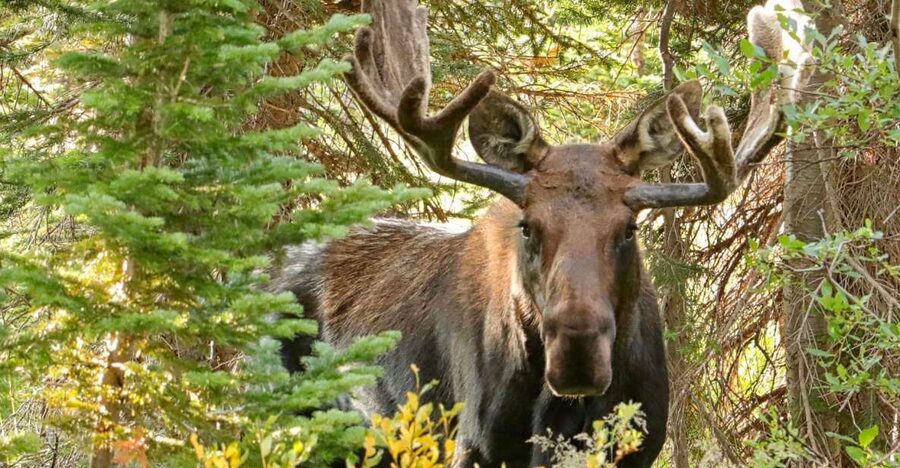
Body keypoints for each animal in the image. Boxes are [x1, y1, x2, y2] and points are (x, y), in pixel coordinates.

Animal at [274, 0, 813, 466]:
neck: (564, 416)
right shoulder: (471, 445)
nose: (578, 354)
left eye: (629, 228)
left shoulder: (642, 446)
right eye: (528, 227)